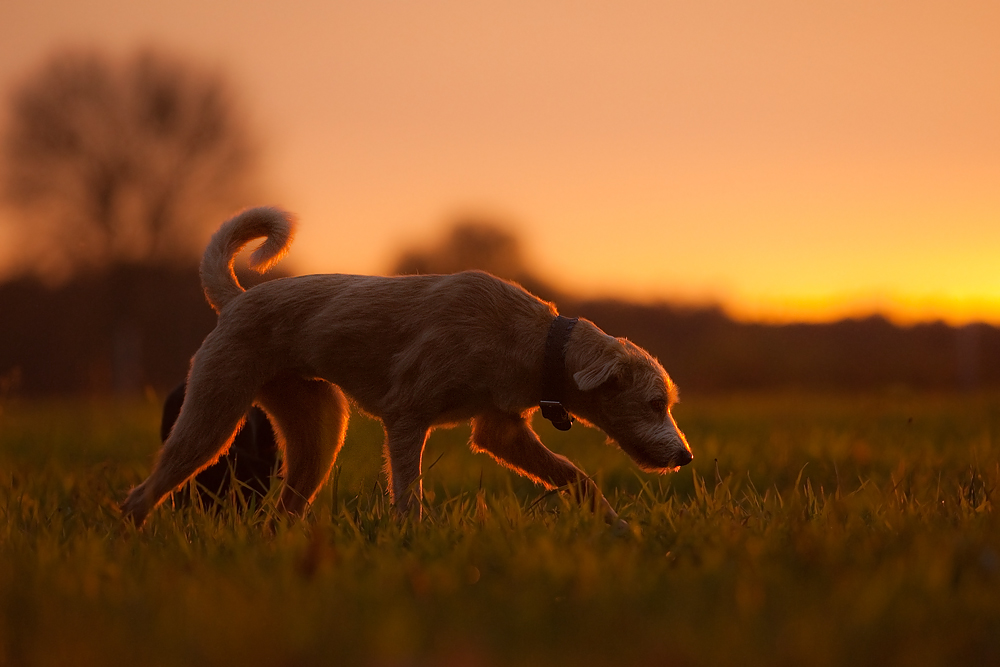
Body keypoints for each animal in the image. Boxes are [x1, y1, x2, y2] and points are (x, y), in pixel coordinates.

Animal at [121, 207, 692, 528]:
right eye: (653, 404)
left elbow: (577, 478)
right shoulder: (406, 417)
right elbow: (409, 493)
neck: (532, 340)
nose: (686, 457)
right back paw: (132, 539)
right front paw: (410, 542)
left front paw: (618, 528)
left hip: (319, 430)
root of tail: (237, 300)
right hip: (212, 416)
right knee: (141, 494)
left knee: (283, 509)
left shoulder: (500, 431)